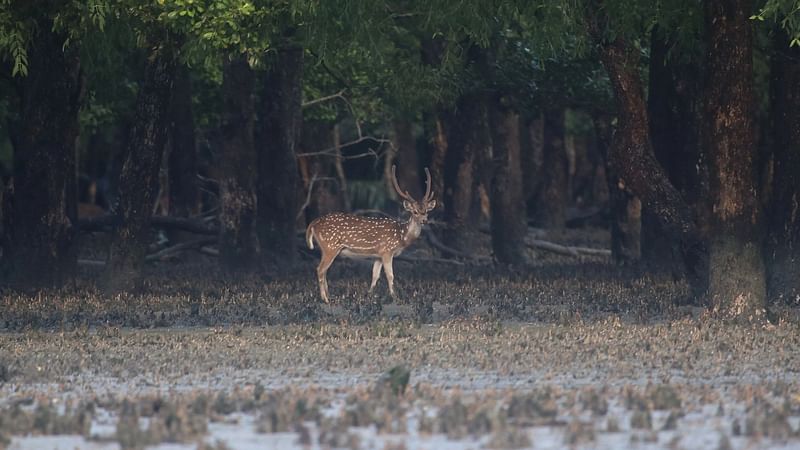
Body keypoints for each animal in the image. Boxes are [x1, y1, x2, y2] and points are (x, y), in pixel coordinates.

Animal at [304, 165, 438, 302]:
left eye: (426, 211)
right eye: (415, 211)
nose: (424, 220)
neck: (402, 236)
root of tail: (314, 223)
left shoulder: (378, 255)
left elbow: (375, 276)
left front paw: (368, 295)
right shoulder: (386, 250)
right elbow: (390, 275)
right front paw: (395, 297)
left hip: (325, 248)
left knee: (324, 270)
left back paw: (328, 296)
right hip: (330, 246)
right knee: (320, 269)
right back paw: (325, 299)